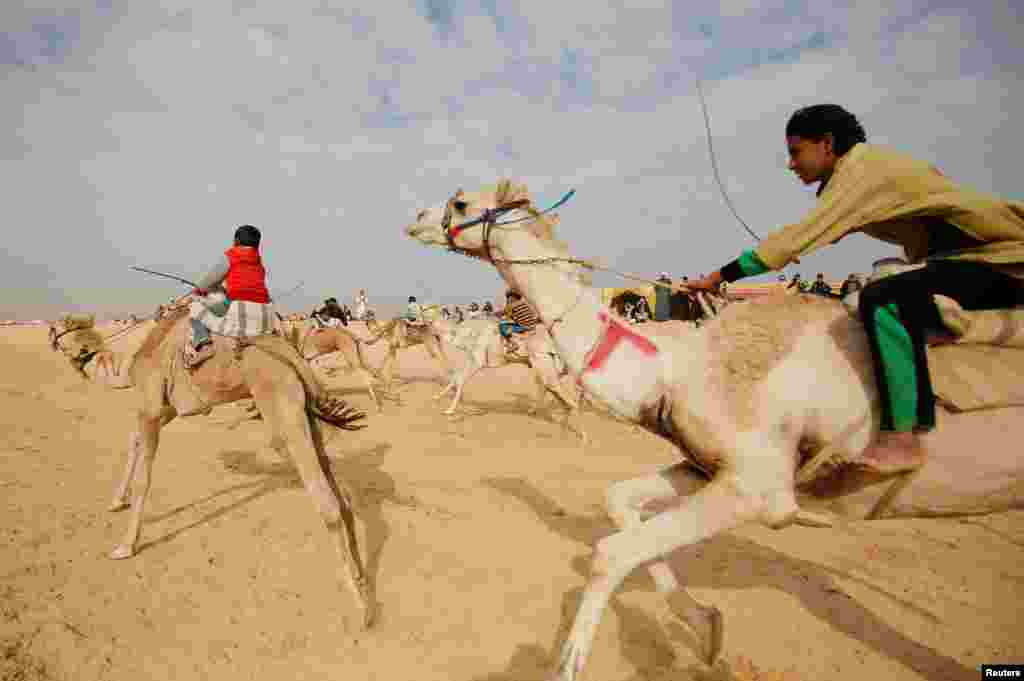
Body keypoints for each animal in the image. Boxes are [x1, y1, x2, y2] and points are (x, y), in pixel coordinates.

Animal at [107, 307, 376, 626]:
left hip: (280, 409)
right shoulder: (166, 408)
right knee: (341, 497)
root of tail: (291, 355)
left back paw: (361, 608)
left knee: (327, 504)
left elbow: (143, 478)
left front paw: (126, 545)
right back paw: (360, 574)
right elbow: (134, 441)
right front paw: (115, 502)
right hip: (304, 411)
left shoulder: (150, 407)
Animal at [405, 179, 1024, 679]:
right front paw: (705, 627)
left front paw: (570, 661)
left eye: (461, 201)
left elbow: (610, 552)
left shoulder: (759, 488)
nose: (413, 217)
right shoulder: (703, 466)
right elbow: (619, 507)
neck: (674, 369)